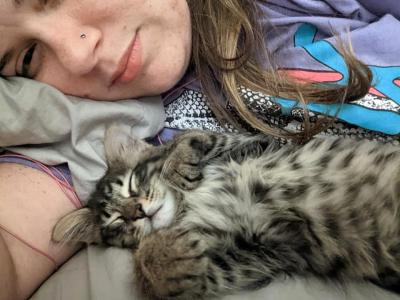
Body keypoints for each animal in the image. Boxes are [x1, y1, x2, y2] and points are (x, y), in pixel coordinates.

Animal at [51, 127, 400, 298]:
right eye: (116, 221)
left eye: (133, 185)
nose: (137, 212)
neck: (185, 206)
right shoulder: (269, 250)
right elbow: (204, 274)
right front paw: (162, 258)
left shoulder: (259, 144)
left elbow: (193, 136)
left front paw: (176, 162)